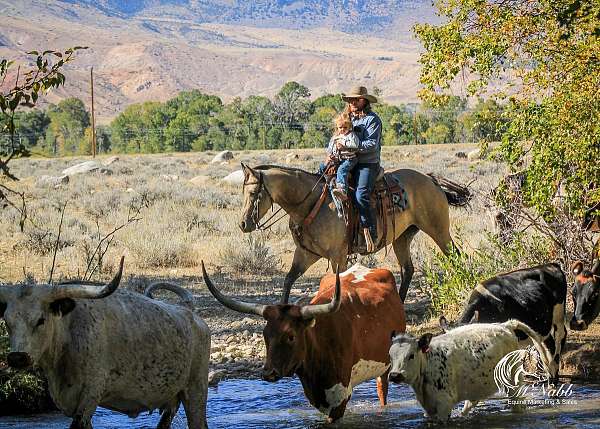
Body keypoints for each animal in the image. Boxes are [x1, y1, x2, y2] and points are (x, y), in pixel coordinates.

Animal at [203, 260, 408, 422]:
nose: (268, 373)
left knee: (382, 390)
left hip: (386, 366)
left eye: (291, 336)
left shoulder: (339, 397)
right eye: (265, 334)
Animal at [237, 162, 472, 302]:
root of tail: (430, 179)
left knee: (456, 256)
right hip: (402, 238)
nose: (243, 224)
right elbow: (288, 281)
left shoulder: (337, 257)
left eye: (253, 193)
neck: (312, 204)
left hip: (438, 230)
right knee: (408, 270)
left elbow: (337, 287)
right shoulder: (305, 254)